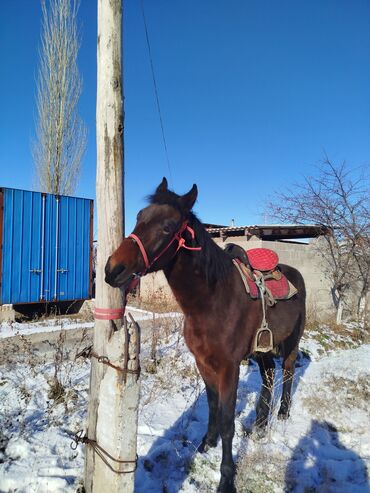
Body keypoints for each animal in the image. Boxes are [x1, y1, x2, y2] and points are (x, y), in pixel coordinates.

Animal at [105, 178, 306, 492]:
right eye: (139, 217)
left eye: (167, 227)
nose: (113, 269)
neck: (213, 301)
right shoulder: (203, 362)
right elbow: (212, 405)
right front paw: (205, 444)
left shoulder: (229, 368)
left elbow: (227, 421)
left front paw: (226, 478)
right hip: (262, 351)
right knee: (268, 377)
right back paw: (260, 425)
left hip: (291, 343)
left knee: (286, 373)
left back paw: (282, 414)